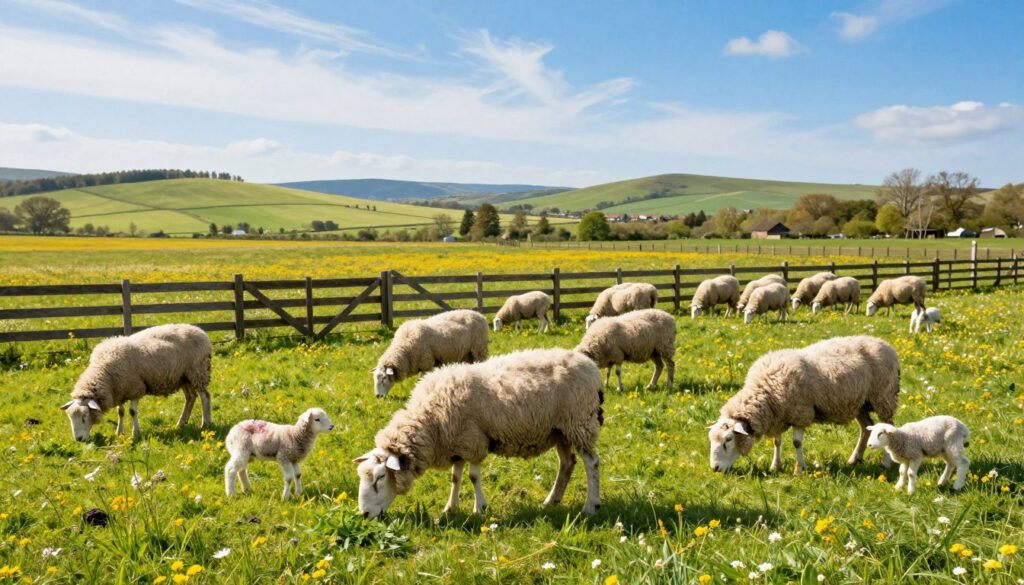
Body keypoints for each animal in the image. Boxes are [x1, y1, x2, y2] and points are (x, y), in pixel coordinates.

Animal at [61, 324, 212, 442]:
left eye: (84, 417)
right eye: (70, 418)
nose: (79, 439)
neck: (104, 372)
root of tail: (200, 331)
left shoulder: (135, 388)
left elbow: (132, 412)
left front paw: (135, 433)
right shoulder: (120, 390)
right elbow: (120, 412)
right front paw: (119, 432)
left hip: (198, 371)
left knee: (205, 397)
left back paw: (205, 423)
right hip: (183, 377)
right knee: (190, 398)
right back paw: (181, 423)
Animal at [354, 348, 603, 519]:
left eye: (380, 477)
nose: (364, 515)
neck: (430, 421)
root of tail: (591, 366)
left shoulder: (473, 441)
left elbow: (473, 477)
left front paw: (479, 508)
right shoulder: (456, 444)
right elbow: (455, 477)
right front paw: (450, 507)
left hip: (580, 421)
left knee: (591, 463)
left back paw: (591, 505)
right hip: (561, 430)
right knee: (567, 463)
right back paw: (551, 500)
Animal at [708, 335, 900, 474]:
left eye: (728, 439)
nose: (715, 469)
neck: (766, 392)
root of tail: (885, 343)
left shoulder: (800, 413)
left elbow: (796, 443)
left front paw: (800, 469)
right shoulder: (779, 415)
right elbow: (777, 442)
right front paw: (775, 465)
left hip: (884, 397)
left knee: (887, 427)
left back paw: (885, 463)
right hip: (860, 403)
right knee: (866, 427)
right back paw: (854, 459)